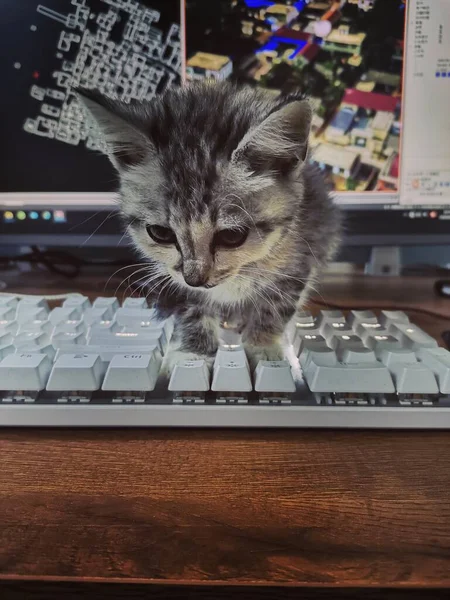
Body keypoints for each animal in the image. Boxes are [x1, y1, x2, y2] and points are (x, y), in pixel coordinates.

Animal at [77, 82, 340, 368]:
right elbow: (191, 307)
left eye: (233, 236)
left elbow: (274, 308)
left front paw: (264, 348)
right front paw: (194, 353)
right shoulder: (176, 280)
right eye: (160, 233)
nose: (194, 279)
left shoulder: (301, 260)